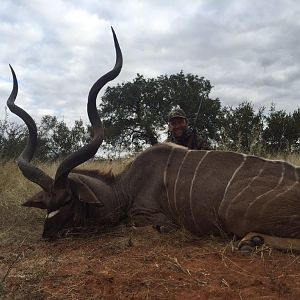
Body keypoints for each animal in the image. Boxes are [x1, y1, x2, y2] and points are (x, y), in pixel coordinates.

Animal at [5, 28, 300, 253]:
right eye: (47, 202)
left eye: (67, 199)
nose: (47, 235)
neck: (125, 187)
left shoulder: (146, 216)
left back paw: (252, 241)